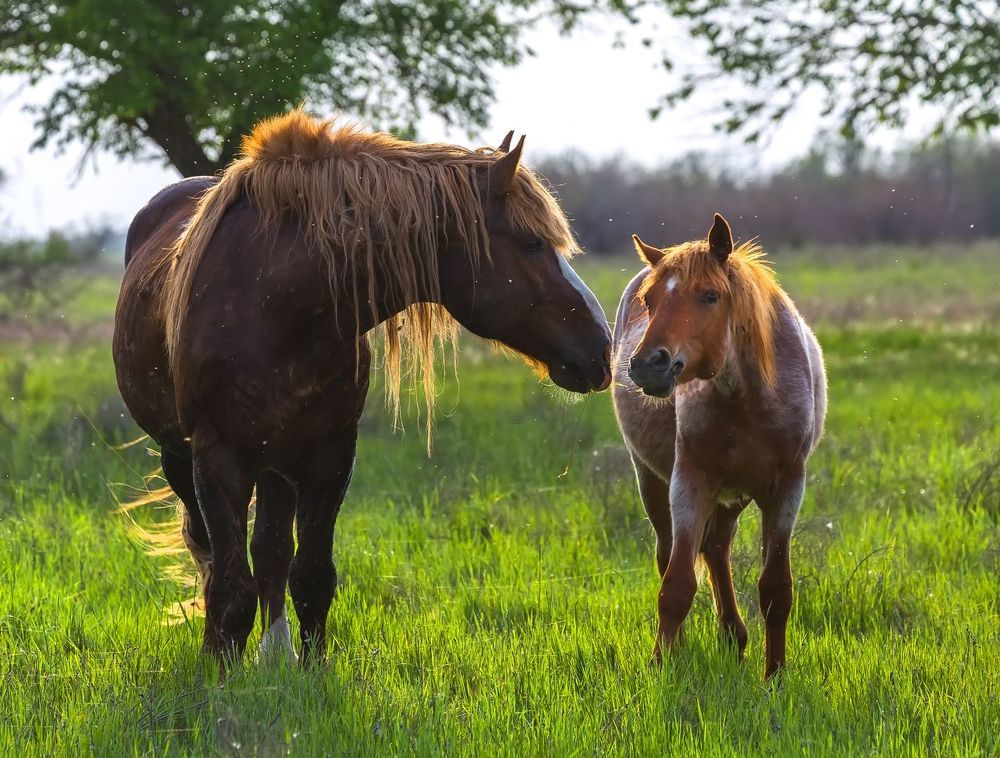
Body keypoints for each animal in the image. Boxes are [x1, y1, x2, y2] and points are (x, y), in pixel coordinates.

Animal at [113, 110, 612, 664]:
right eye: (532, 242)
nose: (602, 347)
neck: (274, 303)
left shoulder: (329, 453)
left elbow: (310, 577)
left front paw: (309, 672)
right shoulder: (217, 458)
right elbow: (229, 588)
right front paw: (219, 671)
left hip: (276, 461)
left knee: (270, 550)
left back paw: (276, 654)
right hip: (181, 455)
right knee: (211, 554)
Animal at [611, 213, 826, 678]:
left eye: (709, 296)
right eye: (650, 301)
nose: (648, 364)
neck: (749, 395)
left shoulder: (786, 490)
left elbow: (775, 589)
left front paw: (775, 674)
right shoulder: (691, 481)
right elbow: (675, 585)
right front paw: (661, 666)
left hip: (733, 496)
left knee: (716, 549)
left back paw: (734, 636)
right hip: (654, 481)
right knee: (675, 552)